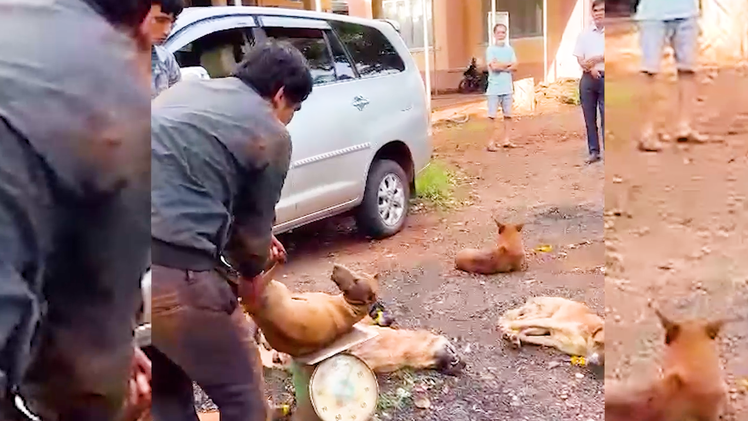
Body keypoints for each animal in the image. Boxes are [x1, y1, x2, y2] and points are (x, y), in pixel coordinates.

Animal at [241, 260, 380, 356]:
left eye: (356, 280)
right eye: (357, 273)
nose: (335, 266)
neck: (352, 305)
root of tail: (257, 307)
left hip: (273, 284)